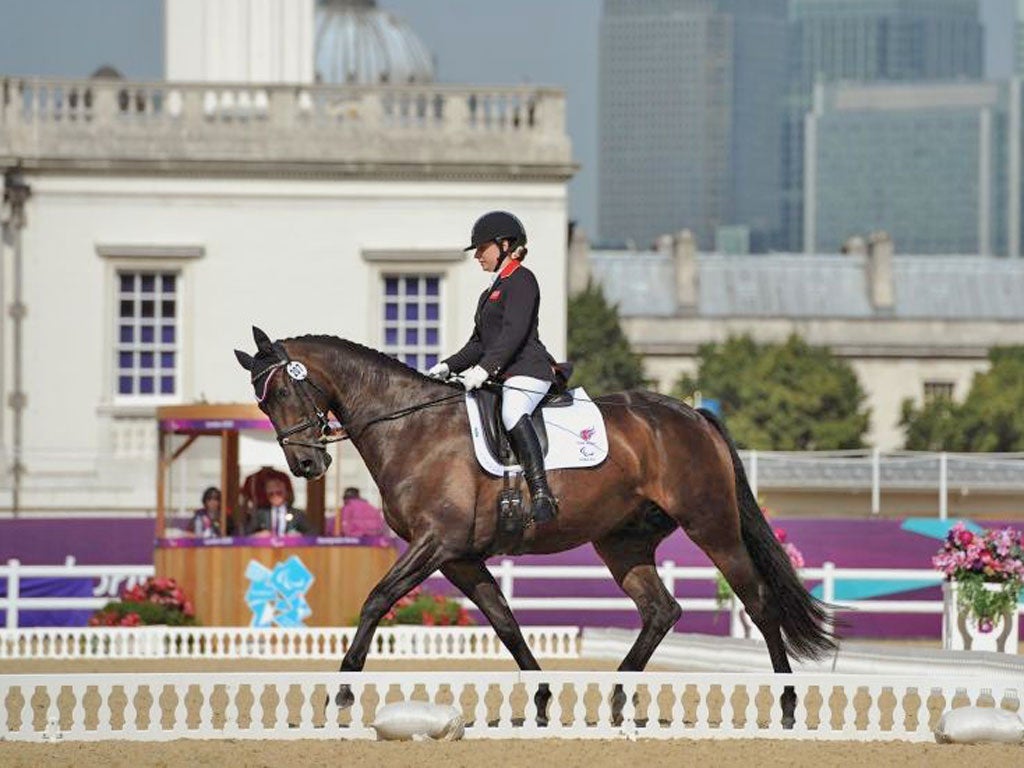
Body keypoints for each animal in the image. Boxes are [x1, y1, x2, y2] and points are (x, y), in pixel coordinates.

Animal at [235, 327, 835, 724]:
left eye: (285, 391)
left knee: (758, 603)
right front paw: (543, 699)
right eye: (263, 404)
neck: (413, 428)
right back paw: (617, 700)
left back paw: (787, 706)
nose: (305, 465)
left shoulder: (436, 543)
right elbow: (504, 622)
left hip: (711, 525)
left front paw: (340, 693)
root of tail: (691, 414)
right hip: (622, 541)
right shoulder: (459, 556)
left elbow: (377, 600)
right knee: (661, 610)